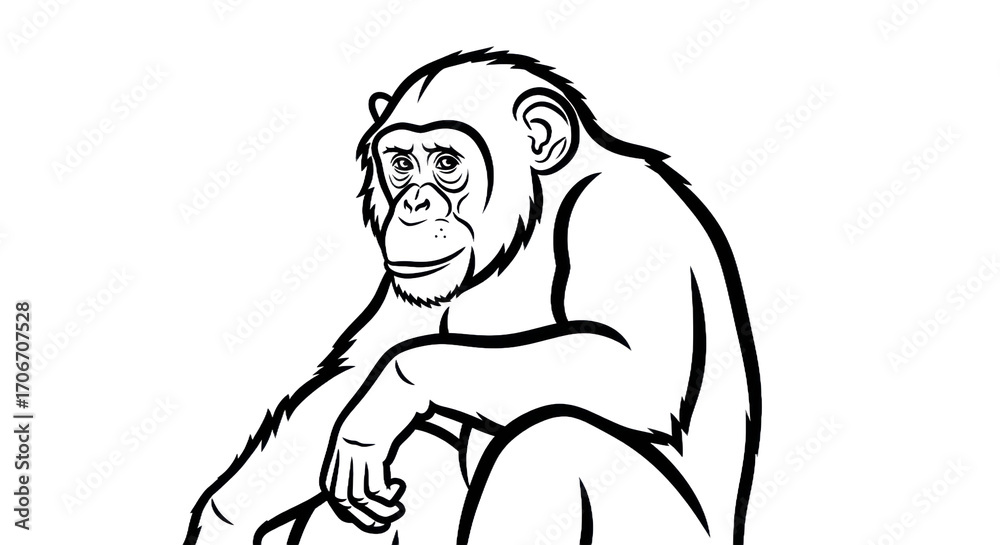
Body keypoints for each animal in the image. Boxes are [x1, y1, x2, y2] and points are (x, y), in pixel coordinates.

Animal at [184, 49, 761, 545]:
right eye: (400, 164)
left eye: (445, 162)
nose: (413, 206)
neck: (533, 220)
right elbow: (350, 375)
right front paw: (223, 519)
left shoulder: (622, 207)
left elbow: (639, 367)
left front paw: (386, 398)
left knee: (556, 438)